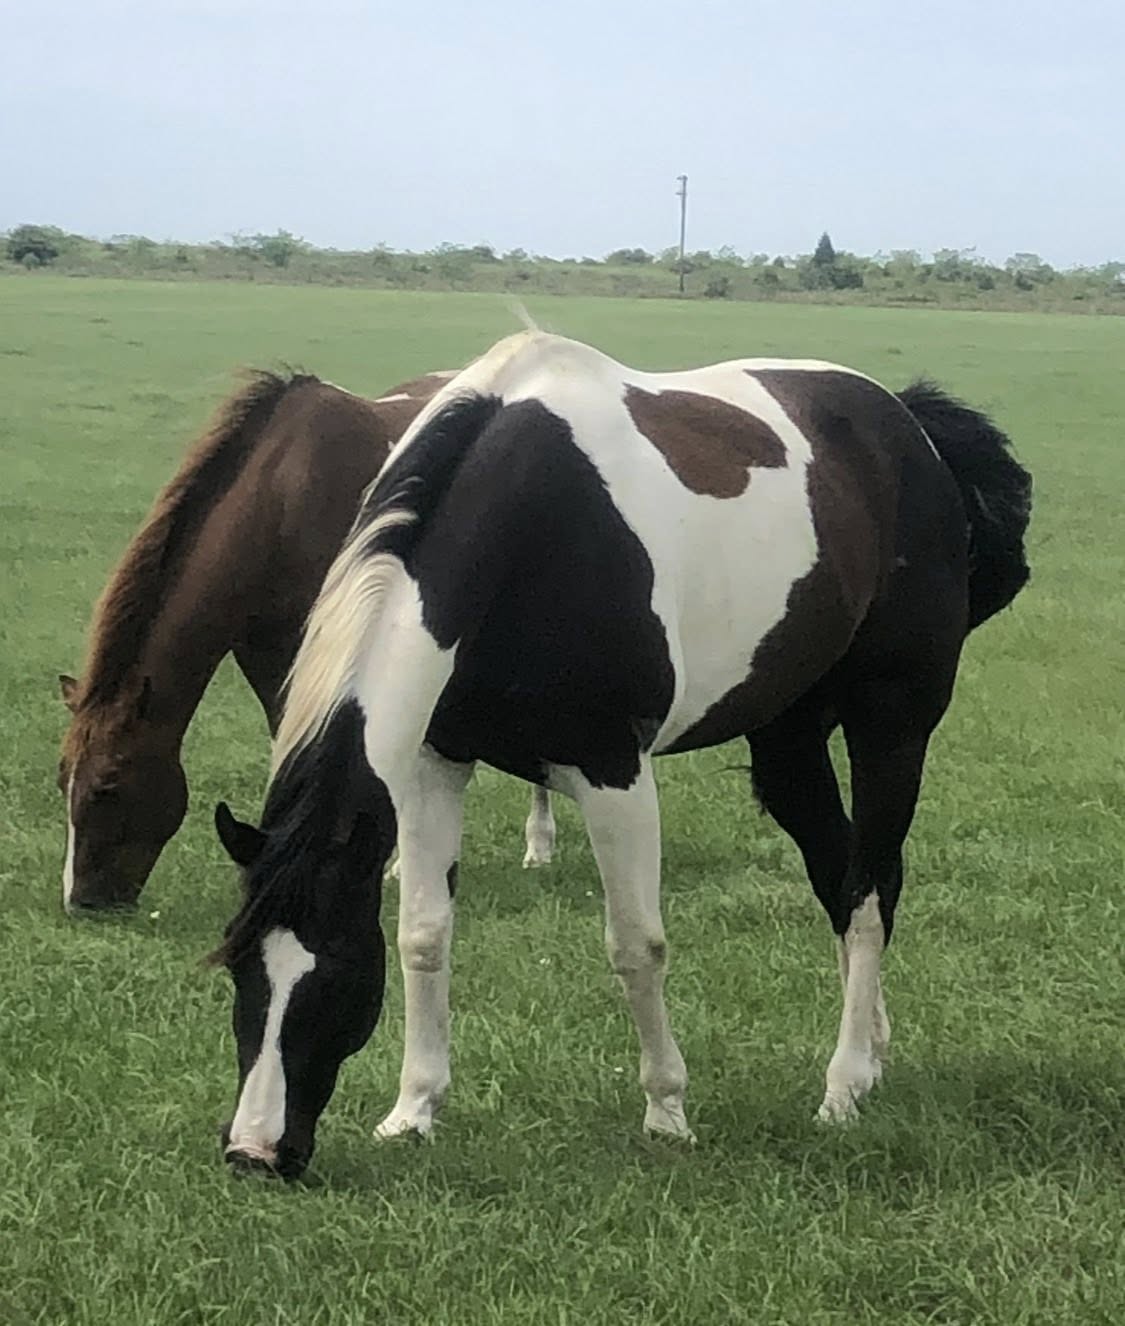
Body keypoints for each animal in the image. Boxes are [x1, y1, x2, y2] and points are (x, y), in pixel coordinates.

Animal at [57, 367, 558, 913]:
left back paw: (538, 843)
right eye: (63, 777)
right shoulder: (270, 658)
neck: (277, 498)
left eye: (107, 786)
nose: (82, 900)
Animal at [211, 330, 1032, 1179]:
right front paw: (413, 1110)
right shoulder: (437, 765)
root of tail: (907, 424)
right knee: (840, 880)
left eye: (335, 971)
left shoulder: (614, 774)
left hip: (891, 725)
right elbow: (424, 936)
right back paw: (869, 1055)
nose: (255, 1150)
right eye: (237, 965)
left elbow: (637, 945)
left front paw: (666, 1111)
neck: (532, 525)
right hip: (788, 740)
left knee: (868, 892)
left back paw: (840, 1087)